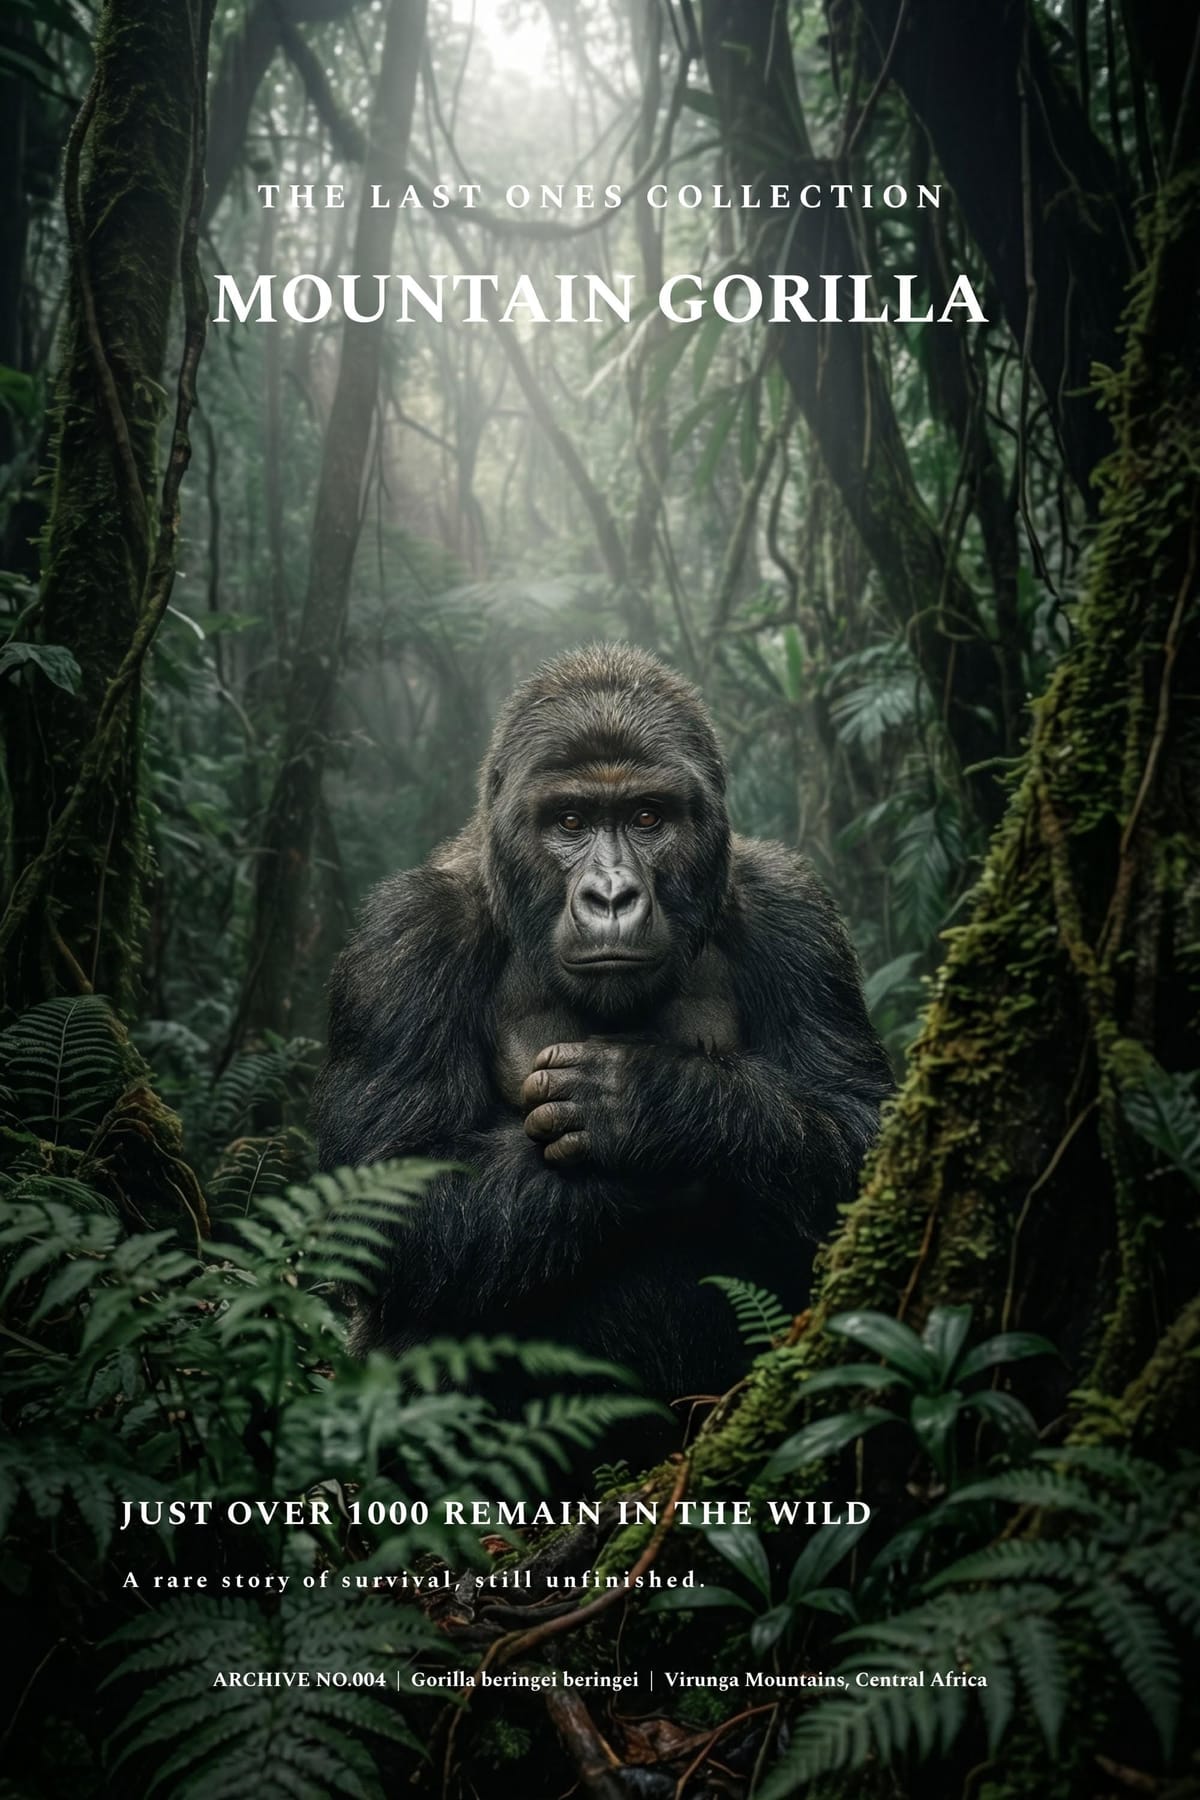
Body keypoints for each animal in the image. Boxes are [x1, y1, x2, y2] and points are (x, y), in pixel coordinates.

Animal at [313, 644, 891, 1445]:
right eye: (570, 819)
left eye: (648, 817)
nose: (612, 895)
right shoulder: (403, 939)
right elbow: (385, 1197)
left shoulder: (792, 907)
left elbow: (859, 1130)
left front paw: (657, 1111)